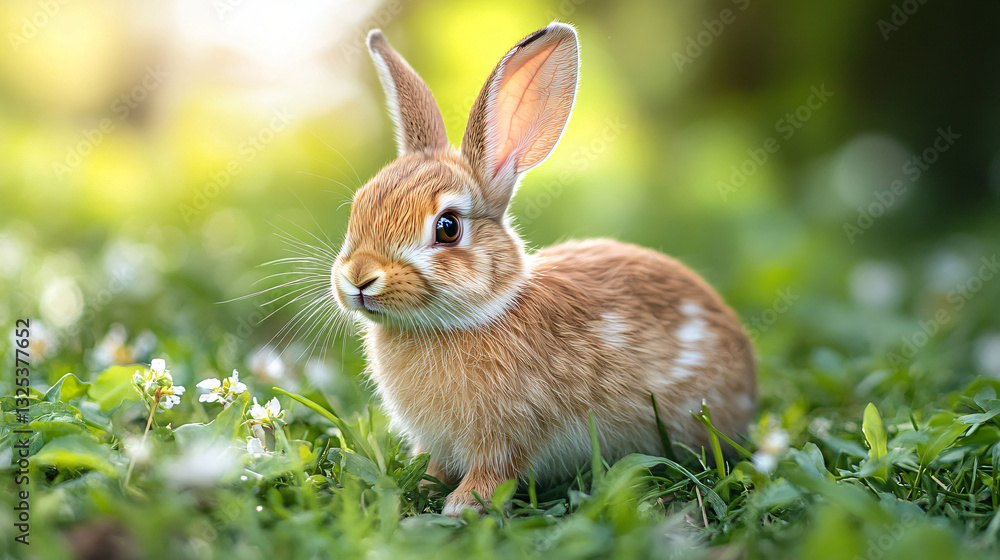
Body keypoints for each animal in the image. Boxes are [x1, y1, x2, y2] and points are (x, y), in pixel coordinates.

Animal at [330, 22, 757, 517]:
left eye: (448, 228)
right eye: (358, 206)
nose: (359, 277)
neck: (473, 317)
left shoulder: (509, 433)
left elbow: (495, 471)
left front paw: (462, 505)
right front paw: (423, 489)